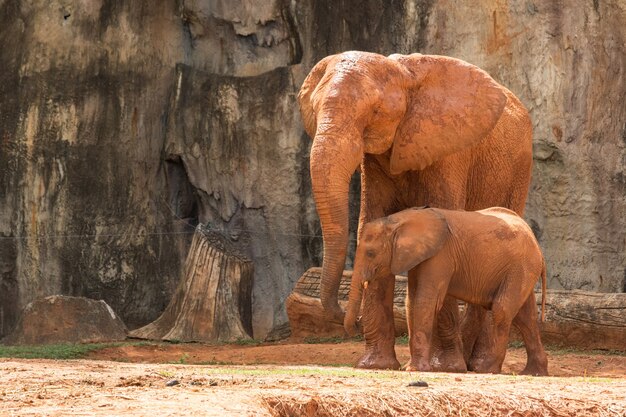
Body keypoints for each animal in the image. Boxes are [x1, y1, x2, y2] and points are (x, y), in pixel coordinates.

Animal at [298, 51, 532, 368]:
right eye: (314, 110)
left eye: (375, 112)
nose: (347, 320)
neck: (403, 73)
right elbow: (372, 222)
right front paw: (376, 365)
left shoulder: (449, 150)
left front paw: (446, 367)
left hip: (518, 171)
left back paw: (476, 366)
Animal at [344, 206, 544, 376]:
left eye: (370, 253)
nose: (357, 324)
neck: (398, 220)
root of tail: (536, 242)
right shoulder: (419, 256)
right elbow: (412, 300)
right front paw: (412, 367)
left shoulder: (440, 255)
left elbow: (425, 300)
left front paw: (414, 369)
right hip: (522, 270)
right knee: (526, 318)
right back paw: (533, 373)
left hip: (520, 267)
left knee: (502, 310)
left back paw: (487, 370)